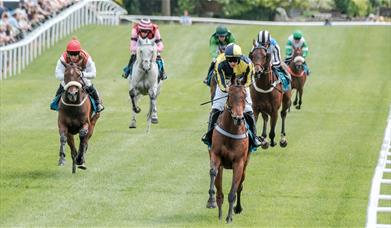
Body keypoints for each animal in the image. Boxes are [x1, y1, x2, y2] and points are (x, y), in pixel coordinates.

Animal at [207, 76, 250, 223]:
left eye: (244, 96)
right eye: (229, 95)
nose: (238, 118)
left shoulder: (239, 163)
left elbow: (233, 191)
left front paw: (229, 217)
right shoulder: (215, 154)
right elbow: (213, 172)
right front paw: (211, 201)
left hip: (245, 165)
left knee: (240, 186)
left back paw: (237, 208)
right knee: (219, 190)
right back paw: (219, 211)